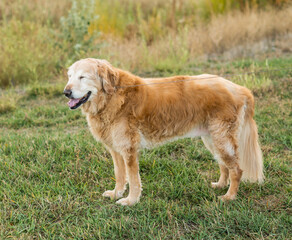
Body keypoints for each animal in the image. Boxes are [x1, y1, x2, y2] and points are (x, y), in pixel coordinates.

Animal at [64, 58, 264, 206]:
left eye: (83, 77)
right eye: (70, 76)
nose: (66, 92)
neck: (111, 97)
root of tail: (238, 88)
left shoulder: (129, 150)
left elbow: (133, 180)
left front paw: (130, 201)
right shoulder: (116, 150)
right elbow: (120, 175)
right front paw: (116, 193)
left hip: (222, 139)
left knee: (236, 169)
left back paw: (229, 196)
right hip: (212, 138)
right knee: (223, 165)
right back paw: (221, 185)